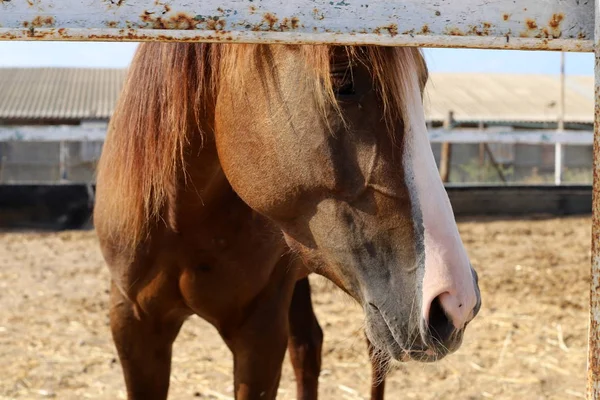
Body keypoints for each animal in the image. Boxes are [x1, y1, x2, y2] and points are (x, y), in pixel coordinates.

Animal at [96, 42, 486, 398]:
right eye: (342, 79)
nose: (457, 303)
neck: (181, 223)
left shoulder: (260, 335)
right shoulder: (133, 326)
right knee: (309, 348)